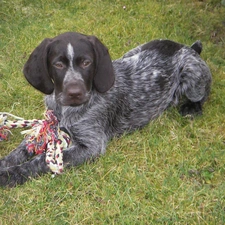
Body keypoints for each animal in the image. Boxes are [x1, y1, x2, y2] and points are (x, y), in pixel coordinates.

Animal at [0, 31, 212, 186]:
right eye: (58, 64)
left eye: (86, 62)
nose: (75, 92)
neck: (65, 109)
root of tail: (187, 47)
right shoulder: (48, 127)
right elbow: (21, 150)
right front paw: (4, 163)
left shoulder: (91, 145)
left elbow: (41, 160)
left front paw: (9, 175)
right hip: (133, 52)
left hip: (192, 73)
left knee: (203, 92)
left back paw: (191, 108)